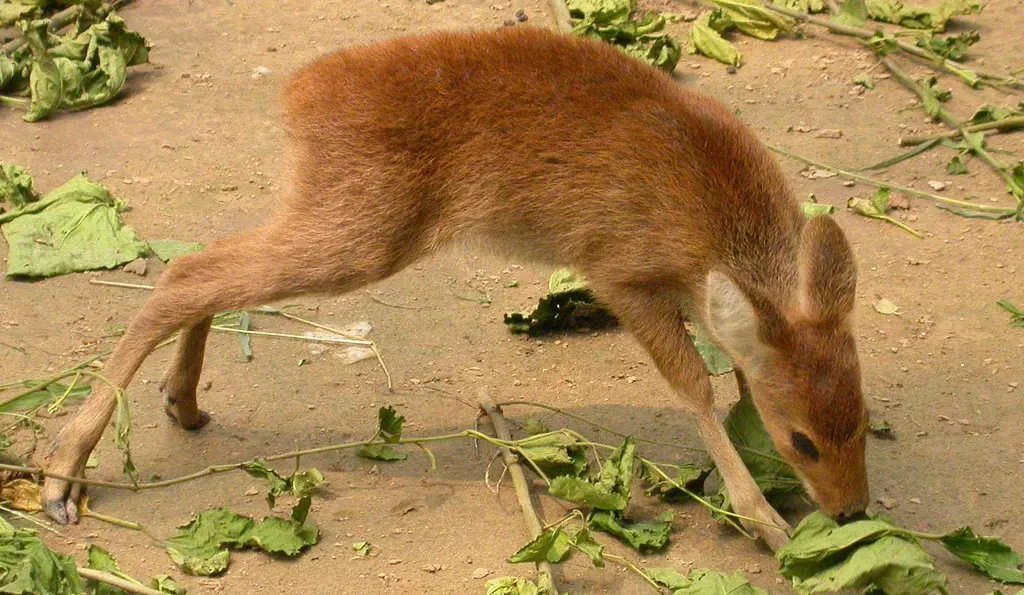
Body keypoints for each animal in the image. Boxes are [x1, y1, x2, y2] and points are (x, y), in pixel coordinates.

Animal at [40, 26, 869, 551]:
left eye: (861, 416)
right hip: (358, 238)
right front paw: (764, 522)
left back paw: (183, 402)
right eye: (802, 438)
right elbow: (696, 387)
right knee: (186, 274)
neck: (713, 209)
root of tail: (299, 94)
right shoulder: (620, 276)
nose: (852, 509)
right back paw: (60, 474)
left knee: (205, 262)